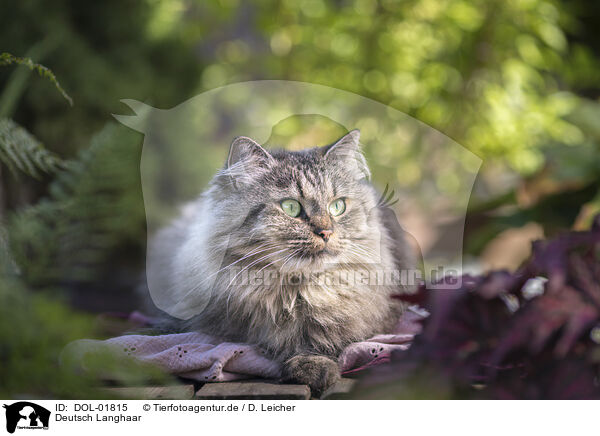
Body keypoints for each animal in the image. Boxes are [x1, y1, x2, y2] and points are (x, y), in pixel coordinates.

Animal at [148, 130, 414, 396]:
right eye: (291, 207)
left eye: (338, 206)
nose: (326, 232)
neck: (299, 292)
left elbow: (335, 339)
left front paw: (314, 363)